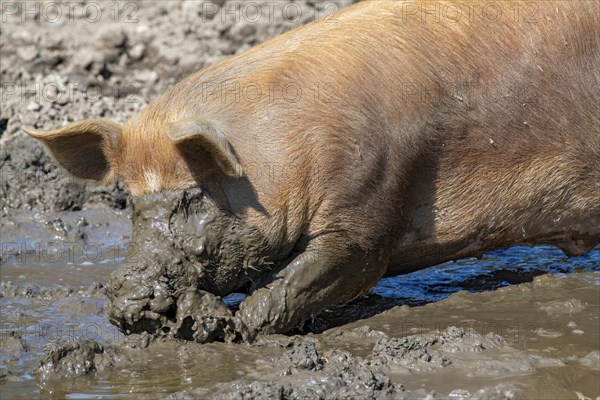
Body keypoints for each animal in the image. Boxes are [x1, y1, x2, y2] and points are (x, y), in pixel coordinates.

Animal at [24, 0, 600, 342]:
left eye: (192, 196)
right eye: (129, 201)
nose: (127, 290)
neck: (280, 159)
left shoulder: (367, 208)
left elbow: (320, 274)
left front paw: (228, 330)